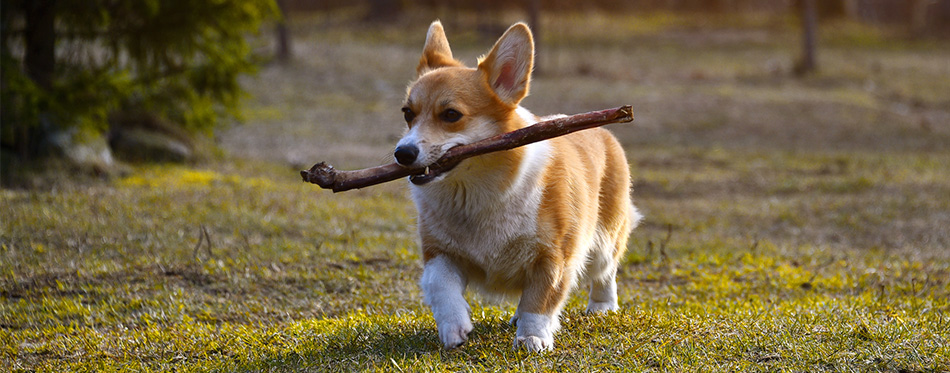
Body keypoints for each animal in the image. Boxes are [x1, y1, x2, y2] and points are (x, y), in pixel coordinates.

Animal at [398, 20, 644, 352]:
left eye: (451, 115)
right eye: (407, 113)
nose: (402, 153)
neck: (476, 192)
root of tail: (602, 131)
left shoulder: (553, 257)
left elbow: (538, 301)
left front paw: (533, 337)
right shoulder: (439, 252)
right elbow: (440, 285)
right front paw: (454, 328)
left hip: (604, 240)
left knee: (605, 273)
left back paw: (601, 307)